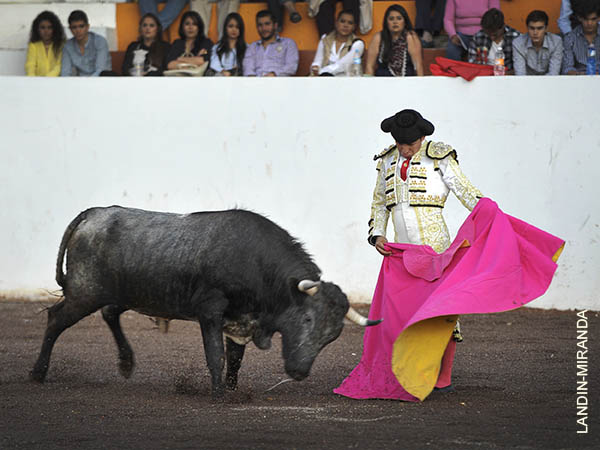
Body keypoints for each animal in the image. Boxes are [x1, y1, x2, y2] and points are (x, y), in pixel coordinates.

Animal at [30, 206, 378, 396]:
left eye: (332, 337)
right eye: (307, 319)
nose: (300, 372)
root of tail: (95, 213)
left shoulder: (242, 318)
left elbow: (235, 357)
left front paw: (233, 389)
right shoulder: (210, 311)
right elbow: (216, 355)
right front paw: (219, 394)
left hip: (125, 293)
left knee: (110, 313)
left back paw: (126, 363)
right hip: (84, 292)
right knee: (56, 319)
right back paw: (38, 373)